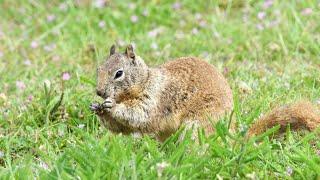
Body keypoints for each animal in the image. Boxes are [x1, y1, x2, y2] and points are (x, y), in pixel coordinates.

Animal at [89, 44, 320, 141]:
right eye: (98, 69)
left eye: (119, 73)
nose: (99, 92)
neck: (146, 80)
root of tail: (229, 138)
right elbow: (122, 128)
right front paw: (97, 108)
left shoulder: (156, 98)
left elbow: (140, 115)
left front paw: (112, 106)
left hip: (196, 126)